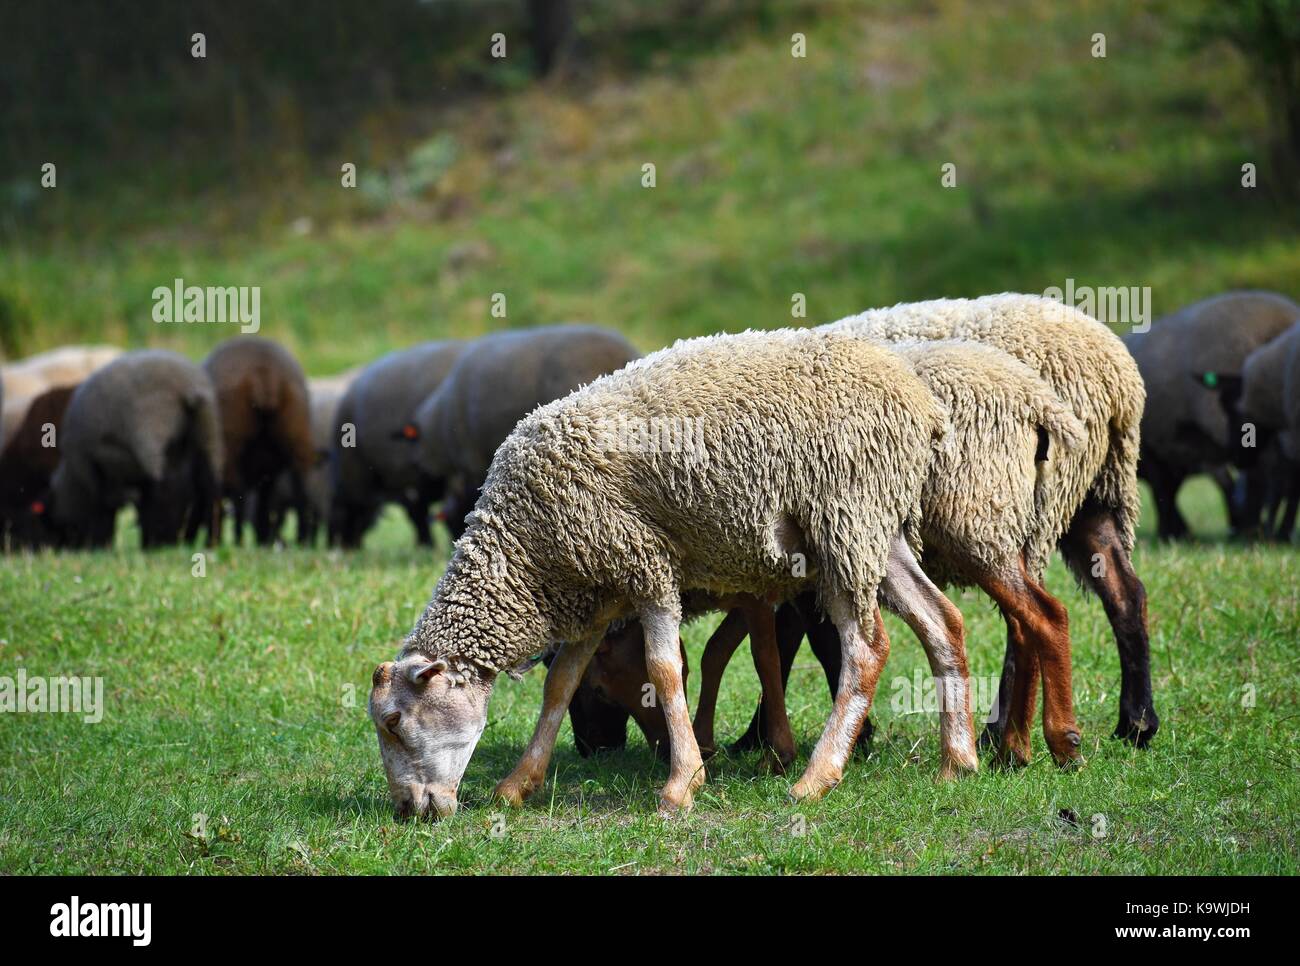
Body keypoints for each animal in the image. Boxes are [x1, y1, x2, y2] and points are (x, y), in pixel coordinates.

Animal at [48, 350, 222, 548]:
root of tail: (187, 385)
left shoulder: (95, 474)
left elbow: (108, 510)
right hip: (208, 432)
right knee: (209, 483)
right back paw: (208, 540)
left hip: (151, 433)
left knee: (166, 485)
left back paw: (159, 542)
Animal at [202, 337, 315, 546]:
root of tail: (264, 371)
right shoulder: (268, 472)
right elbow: (264, 503)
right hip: (297, 432)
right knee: (302, 488)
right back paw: (301, 539)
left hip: (231, 444)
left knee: (235, 492)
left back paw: (235, 539)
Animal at [825, 293, 1158, 747]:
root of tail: (1117, 373)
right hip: (1092, 498)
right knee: (1124, 592)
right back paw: (1136, 723)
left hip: (1014, 508)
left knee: (1028, 618)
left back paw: (1002, 735)